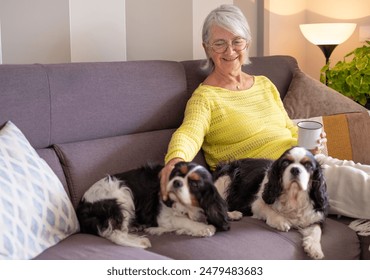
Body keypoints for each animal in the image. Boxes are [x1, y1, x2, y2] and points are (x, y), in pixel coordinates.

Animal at [76, 161, 230, 248]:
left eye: (194, 184)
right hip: (121, 194)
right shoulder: (164, 216)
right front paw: (203, 228)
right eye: (177, 174)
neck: (188, 207)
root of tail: (82, 206)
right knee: (116, 234)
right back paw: (142, 242)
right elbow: (183, 220)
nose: (176, 182)